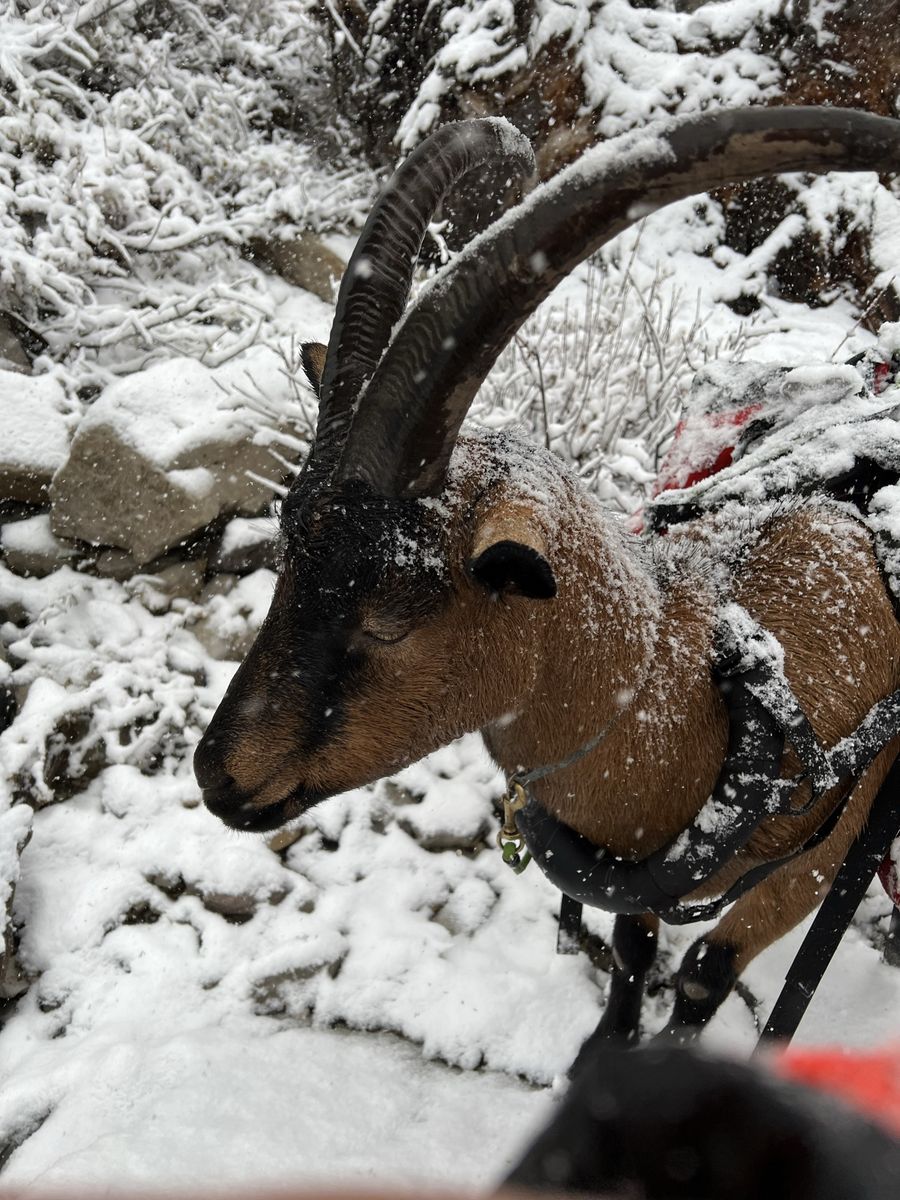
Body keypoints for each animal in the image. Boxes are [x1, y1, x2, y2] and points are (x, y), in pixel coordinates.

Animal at [194, 107, 900, 1048]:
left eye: (389, 618)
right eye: (287, 563)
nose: (217, 776)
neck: (711, 693)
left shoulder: (813, 867)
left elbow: (703, 977)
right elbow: (634, 948)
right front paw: (601, 1047)